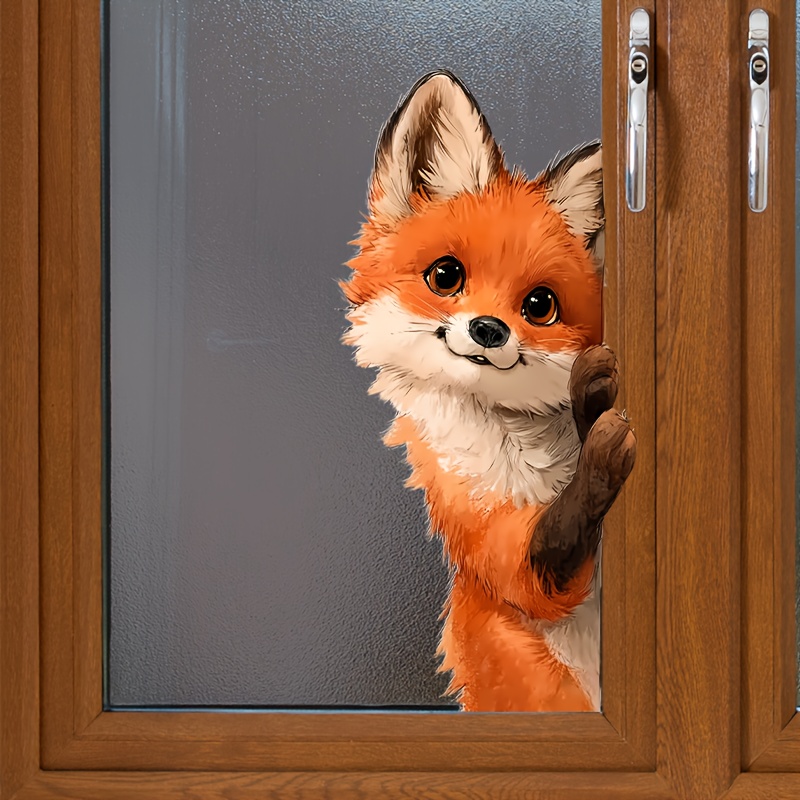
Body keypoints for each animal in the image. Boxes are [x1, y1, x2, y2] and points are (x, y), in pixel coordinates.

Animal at [341, 71, 636, 712]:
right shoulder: (498, 545)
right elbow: (555, 538)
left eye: (539, 305)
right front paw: (599, 455)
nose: (488, 329)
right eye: (446, 275)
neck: (521, 454)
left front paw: (593, 403)